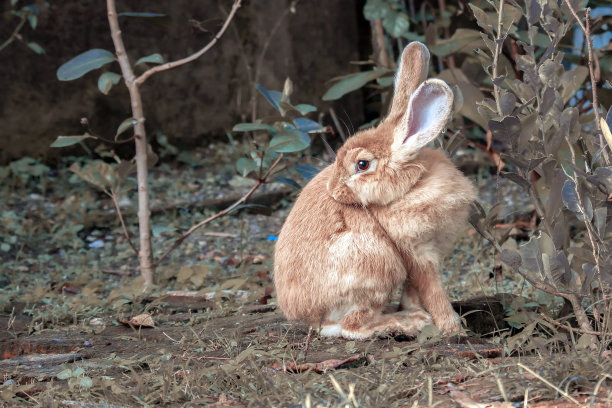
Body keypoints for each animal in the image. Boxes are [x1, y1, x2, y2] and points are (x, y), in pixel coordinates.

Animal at [274, 41, 478, 338]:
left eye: (362, 164)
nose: (332, 189)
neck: (413, 184)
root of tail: (309, 316)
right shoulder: (416, 253)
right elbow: (433, 291)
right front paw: (452, 328)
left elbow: (414, 291)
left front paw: (423, 313)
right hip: (377, 266)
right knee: (351, 327)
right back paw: (408, 322)